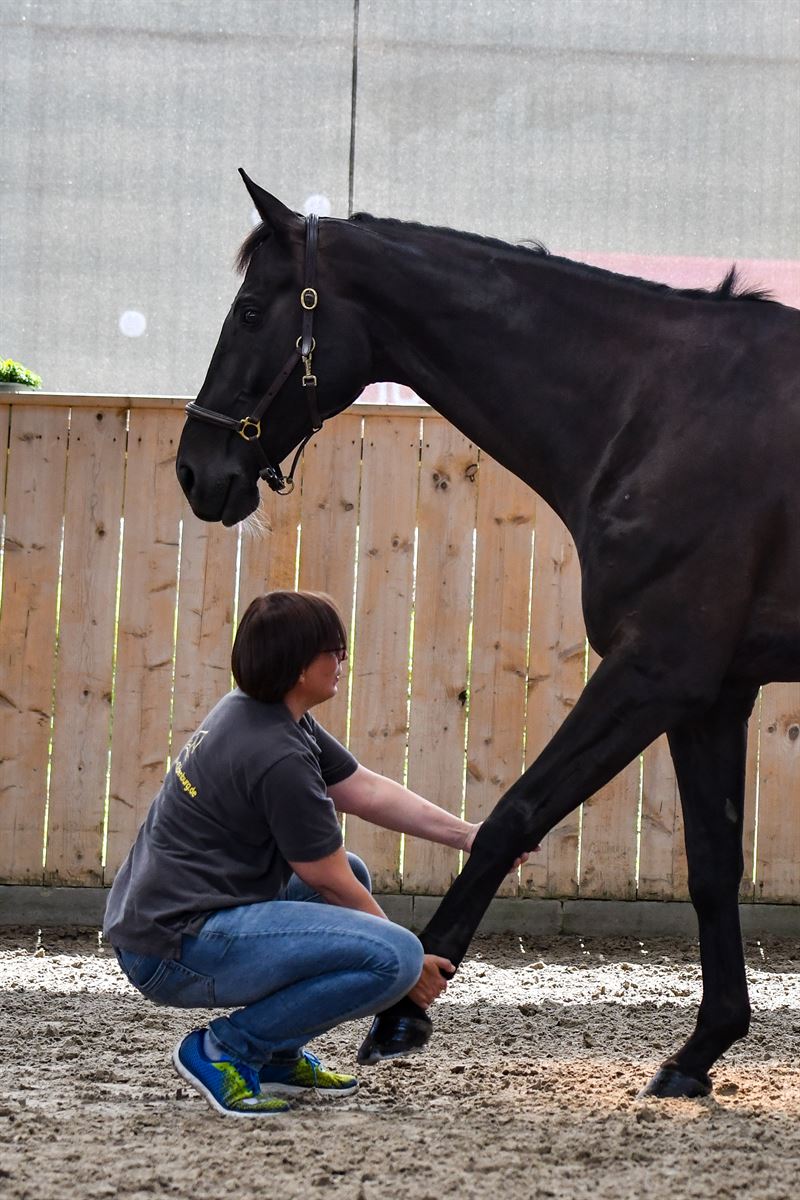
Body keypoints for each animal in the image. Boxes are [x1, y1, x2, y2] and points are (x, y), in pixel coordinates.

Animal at [176, 170, 800, 1099]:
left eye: (252, 311)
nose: (194, 468)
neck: (663, 409)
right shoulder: (713, 693)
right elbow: (713, 865)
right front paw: (700, 1050)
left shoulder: (656, 672)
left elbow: (514, 813)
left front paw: (403, 1011)